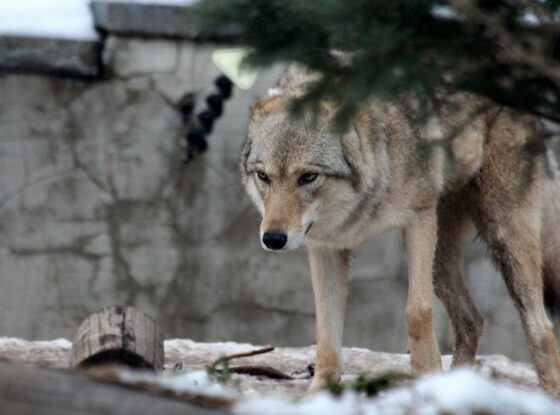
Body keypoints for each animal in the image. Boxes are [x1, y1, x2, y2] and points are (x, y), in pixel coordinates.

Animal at [240, 66, 560, 398]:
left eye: (308, 176)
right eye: (263, 176)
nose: (273, 239)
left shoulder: (418, 220)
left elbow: (417, 312)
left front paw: (428, 377)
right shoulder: (326, 246)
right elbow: (326, 331)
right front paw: (318, 395)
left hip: (502, 237)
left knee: (542, 328)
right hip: (442, 258)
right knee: (472, 319)